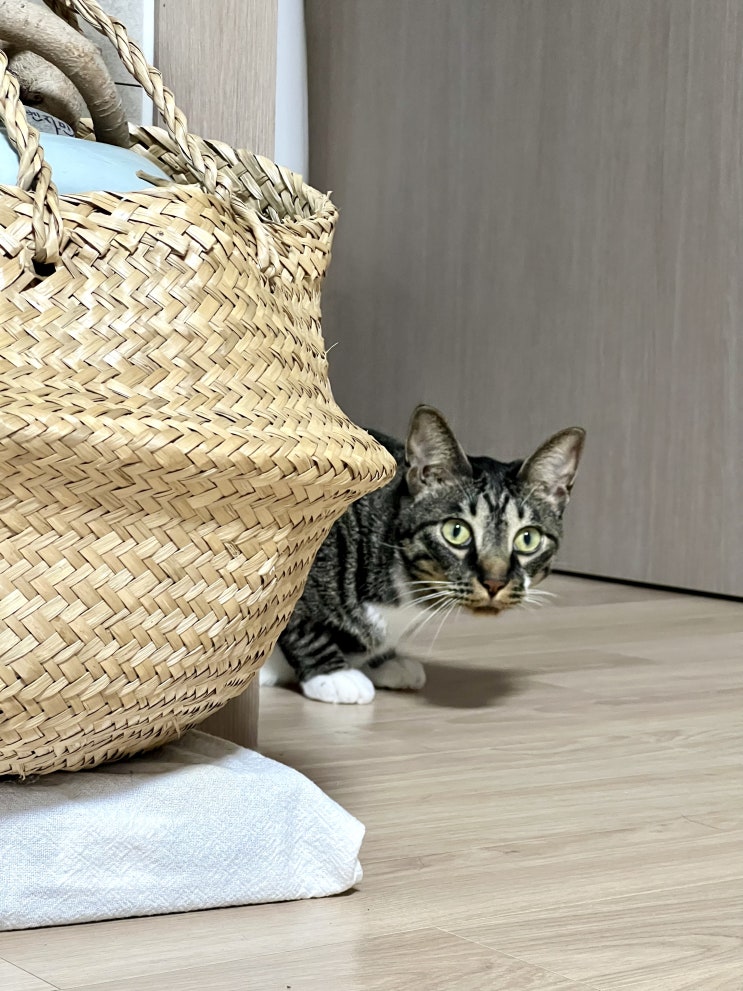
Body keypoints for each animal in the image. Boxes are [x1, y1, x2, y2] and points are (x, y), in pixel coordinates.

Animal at [260, 405, 585, 704]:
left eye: (528, 538)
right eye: (456, 531)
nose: (494, 582)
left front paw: (384, 662)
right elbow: (297, 622)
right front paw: (333, 674)